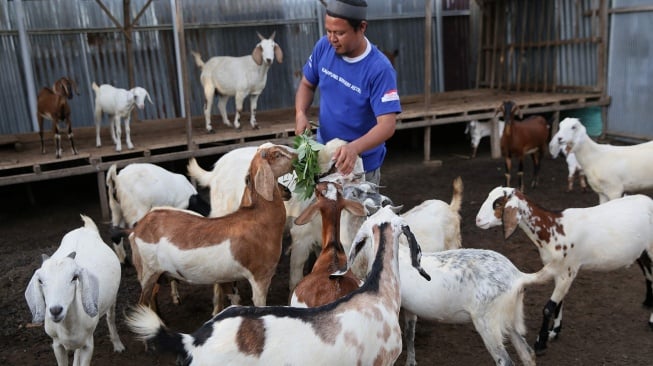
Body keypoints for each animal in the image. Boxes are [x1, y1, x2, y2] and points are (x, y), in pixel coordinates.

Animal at [24, 214, 125, 366]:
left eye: (74, 277)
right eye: (40, 281)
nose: (55, 310)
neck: (68, 329)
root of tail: (85, 228)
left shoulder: (88, 344)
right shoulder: (57, 344)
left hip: (113, 297)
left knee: (110, 317)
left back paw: (118, 345)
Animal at [127, 143, 296, 314]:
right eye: (277, 154)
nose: (287, 191)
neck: (259, 218)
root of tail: (137, 229)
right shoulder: (260, 277)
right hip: (149, 273)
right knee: (143, 302)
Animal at [398, 247, 552, 364]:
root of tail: (518, 276)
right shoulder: (409, 308)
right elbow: (409, 334)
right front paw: (410, 362)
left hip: (487, 322)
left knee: (505, 361)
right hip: (508, 317)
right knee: (527, 352)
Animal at [474, 187, 652, 354]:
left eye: (498, 203)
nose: (478, 220)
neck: (553, 229)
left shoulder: (568, 271)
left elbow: (548, 308)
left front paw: (540, 343)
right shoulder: (557, 271)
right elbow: (559, 304)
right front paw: (555, 332)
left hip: (651, 248)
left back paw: (651, 321)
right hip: (641, 252)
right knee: (649, 274)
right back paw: (647, 301)